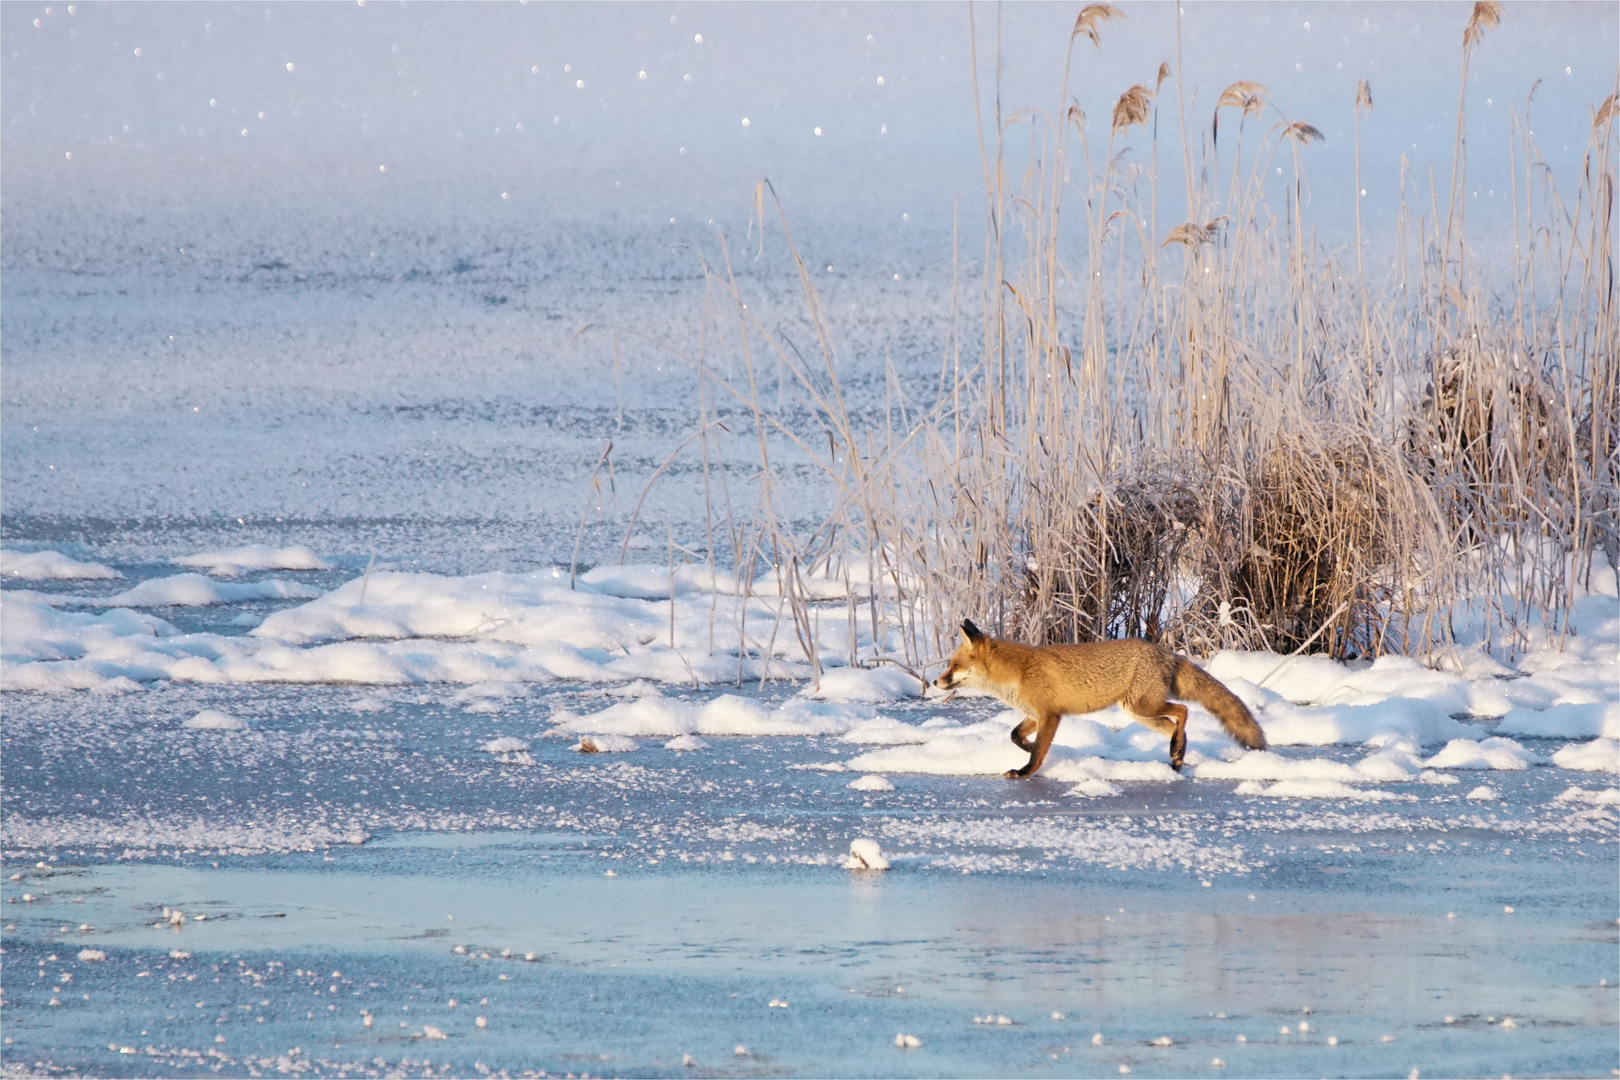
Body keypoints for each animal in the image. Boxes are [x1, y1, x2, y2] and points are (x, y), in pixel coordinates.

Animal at [939, 621, 1263, 780]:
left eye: (954, 666)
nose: (935, 682)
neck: (1017, 672)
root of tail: (1164, 651)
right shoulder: (1035, 714)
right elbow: (1015, 735)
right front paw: (1029, 748)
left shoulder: (1050, 715)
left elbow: (1038, 752)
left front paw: (1025, 770)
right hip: (1140, 714)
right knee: (1175, 726)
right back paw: (1177, 755)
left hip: (1142, 706)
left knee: (1183, 710)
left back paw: (1176, 751)